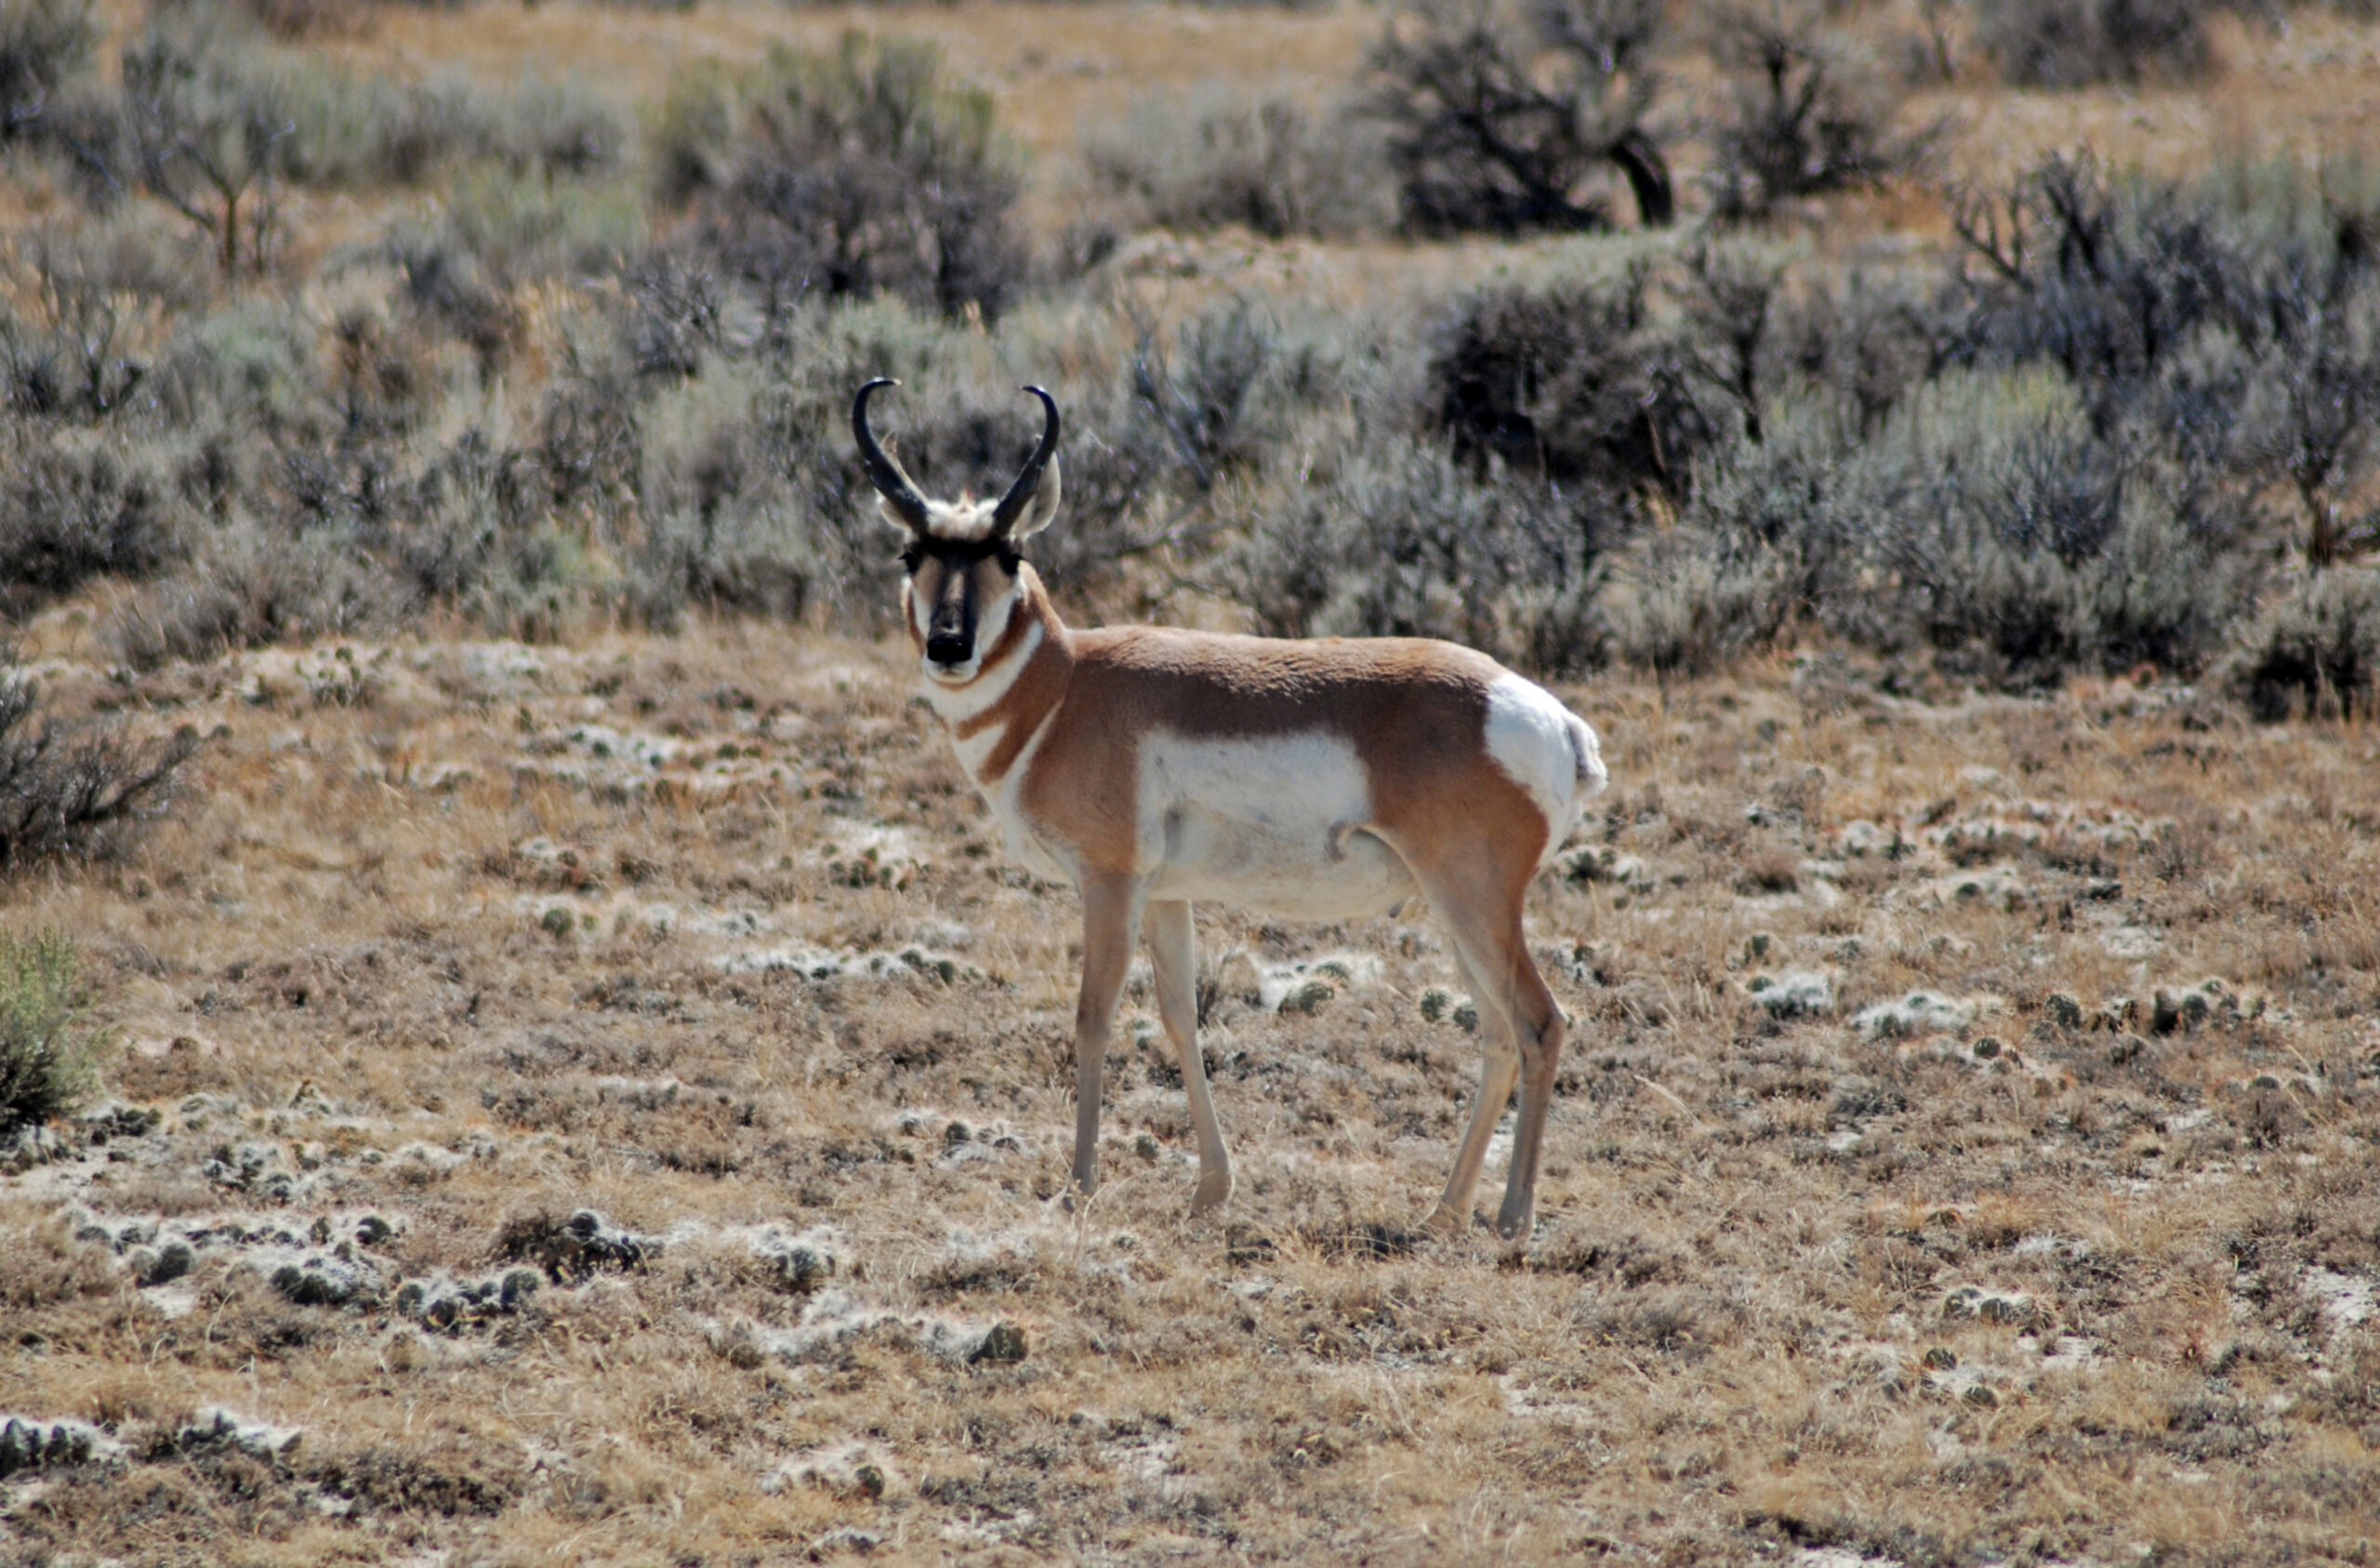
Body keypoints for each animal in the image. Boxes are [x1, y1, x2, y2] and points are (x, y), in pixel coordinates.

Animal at [847, 380, 1608, 1237]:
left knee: (1541, 1022)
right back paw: (1444, 1210)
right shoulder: (1164, 896)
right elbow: (1182, 1017)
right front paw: (1211, 1188)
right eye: (913, 553)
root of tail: (1554, 722)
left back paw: (1511, 1218)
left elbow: (1093, 1018)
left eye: (1008, 553)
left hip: (1474, 904)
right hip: (1455, 912)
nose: (949, 646)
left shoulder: (1109, 885)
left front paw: (1077, 1187)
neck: (1066, 686)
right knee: (1499, 1034)